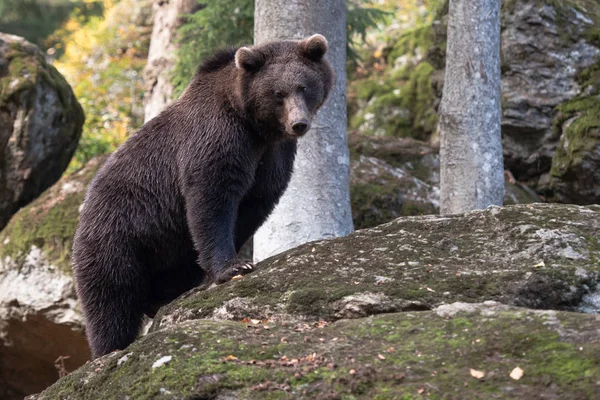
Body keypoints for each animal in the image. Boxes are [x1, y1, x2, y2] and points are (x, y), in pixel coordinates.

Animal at [72, 34, 336, 358]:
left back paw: (162, 299)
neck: (252, 124)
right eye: (278, 93)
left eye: (304, 87)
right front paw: (233, 267)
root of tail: (85, 207)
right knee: (112, 296)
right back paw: (110, 347)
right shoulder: (217, 137)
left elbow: (256, 201)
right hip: (118, 233)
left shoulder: (272, 155)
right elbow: (212, 197)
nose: (299, 123)